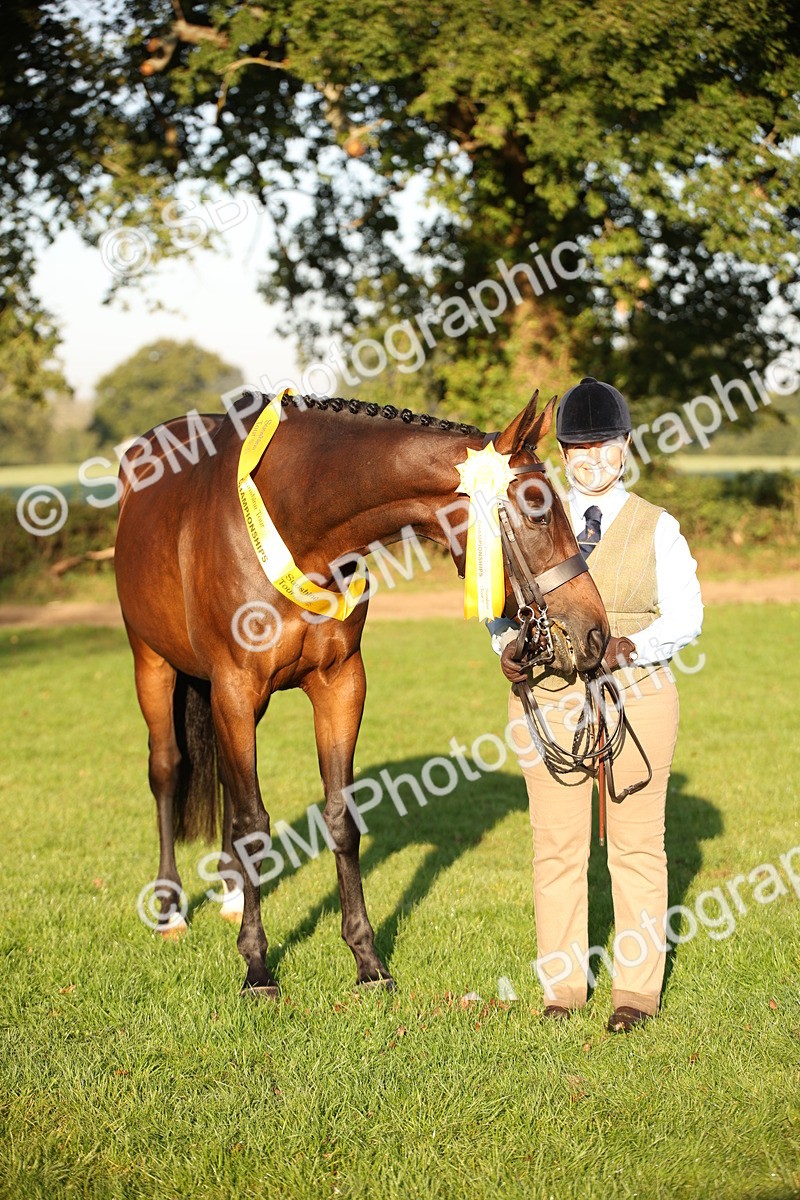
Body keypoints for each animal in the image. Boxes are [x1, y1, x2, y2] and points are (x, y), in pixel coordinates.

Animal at [114, 388, 609, 997]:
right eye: (538, 510)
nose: (595, 632)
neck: (296, 521)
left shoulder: (341, 683)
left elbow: (339, 818)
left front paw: (367, 960)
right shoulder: (235, 687)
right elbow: (254, 825)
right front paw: (257, 967)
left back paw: (230, 895)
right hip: (153, 664)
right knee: (167, 771)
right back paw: (169, 909)